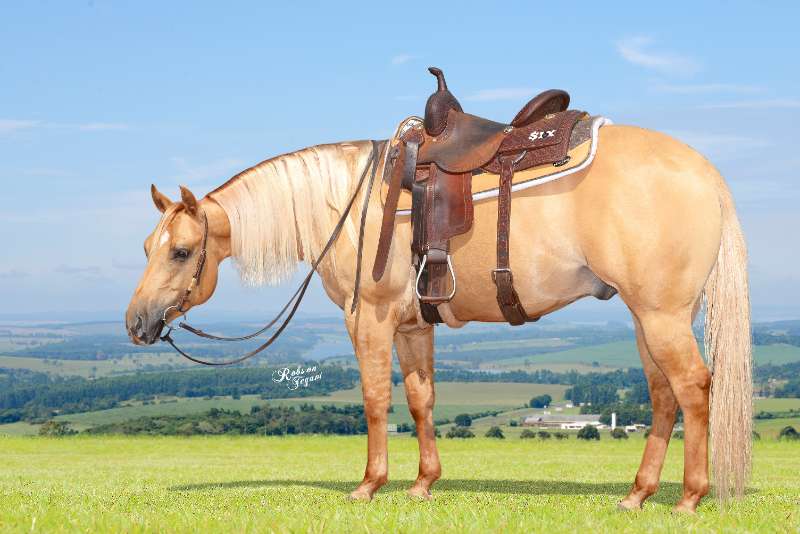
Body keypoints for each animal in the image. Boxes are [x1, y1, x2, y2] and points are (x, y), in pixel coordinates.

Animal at [125, 124, 751, 513]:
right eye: (146, 247)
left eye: (181, 251)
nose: (136, 323)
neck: (347, 206)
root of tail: (705, 172)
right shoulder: (412, 325)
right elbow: (421, 399)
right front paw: (424, 484)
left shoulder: (369, 319)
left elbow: (376, 398)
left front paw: (370, 484)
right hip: (649, 316)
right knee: (664, 395)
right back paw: (637, 495)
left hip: (662, 316)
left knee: (693, 387)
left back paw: (690, 497)